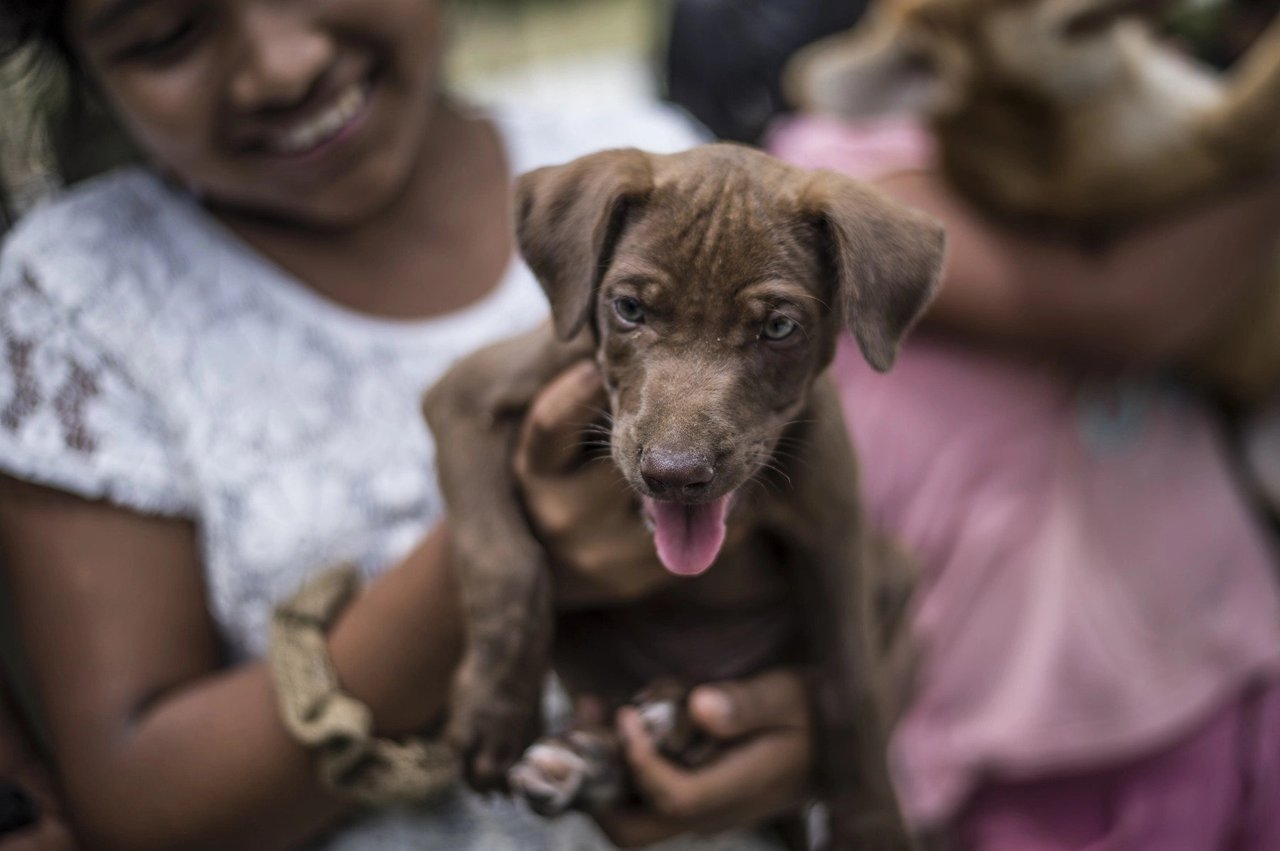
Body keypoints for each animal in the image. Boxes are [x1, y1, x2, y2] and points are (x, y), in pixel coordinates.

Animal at [424, 142, 947, 844]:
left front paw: (871, 824)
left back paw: (663, 724)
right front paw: (495, 712)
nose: (674, 473)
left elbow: (849, 683)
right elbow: (505, 562)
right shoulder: (465, 397)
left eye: (778, 326)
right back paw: (591, 760)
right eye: (629, 309)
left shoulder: (835, 533)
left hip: (891, 567)